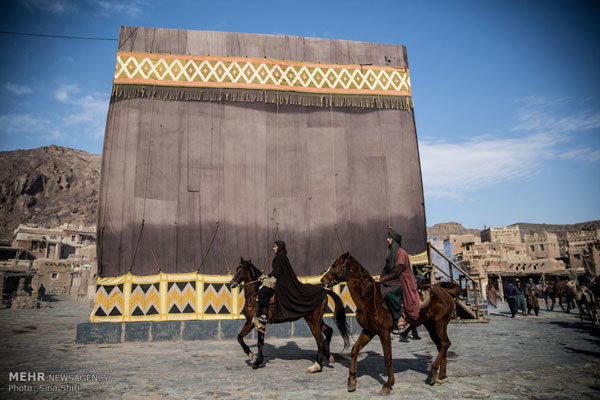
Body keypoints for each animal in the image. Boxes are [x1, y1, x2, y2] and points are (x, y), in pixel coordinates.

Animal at [322, 252, 462, 396]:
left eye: (334, 265)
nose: (322, 280)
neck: (368, 298)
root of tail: (447, 293)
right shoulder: (368, 331)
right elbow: (355, 350)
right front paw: (352, 381)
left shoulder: (384, 333)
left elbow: (388, 359)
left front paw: (388, 384)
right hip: (431, 326)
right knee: (442, 345)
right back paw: (441, 376)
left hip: (439, 324)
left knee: (445, 344)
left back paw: (433, 373)